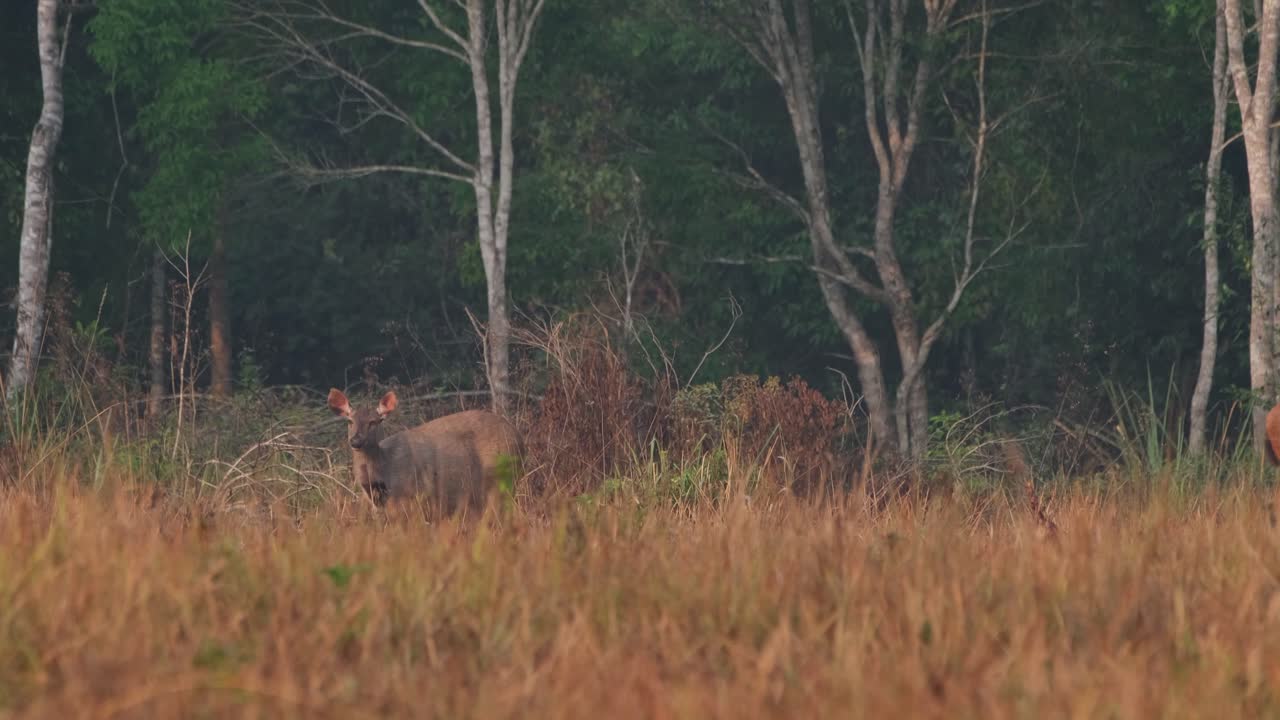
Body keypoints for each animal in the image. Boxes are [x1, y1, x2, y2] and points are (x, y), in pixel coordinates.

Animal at [327, 388, 522, 516]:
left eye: (374, 422)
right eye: (350, 421)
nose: (356, 441)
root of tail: (519, 438)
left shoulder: (412, 498)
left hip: (499, 477)